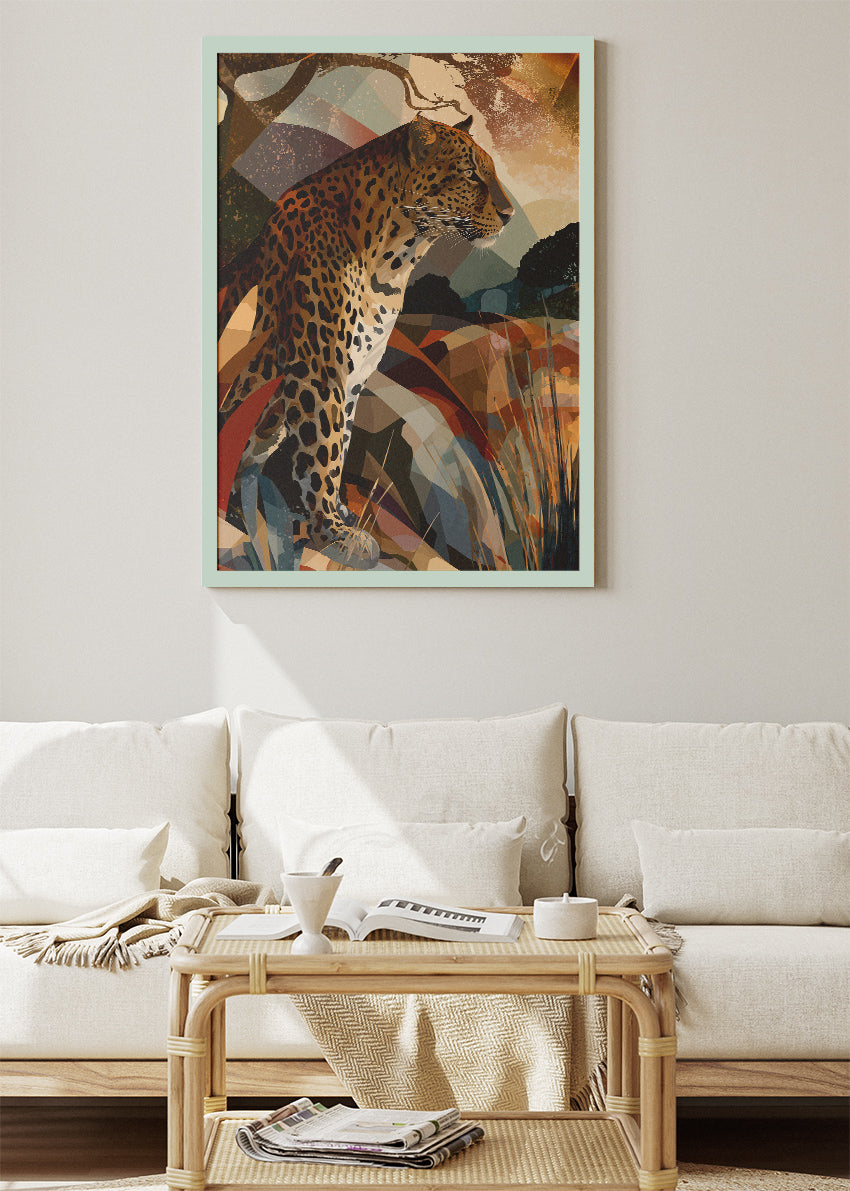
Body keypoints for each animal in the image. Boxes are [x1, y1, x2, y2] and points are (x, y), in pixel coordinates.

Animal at [218, 113, 514, 569]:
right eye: (470, 174)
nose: (510, 213)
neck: (392, 261)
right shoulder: (319, 369)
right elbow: (324, 448)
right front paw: (333, 533)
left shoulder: (355, 374)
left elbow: (341, 443)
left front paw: (336, 515)